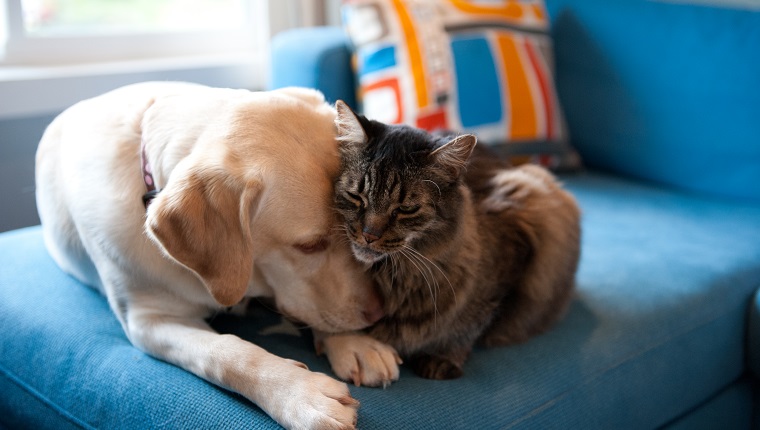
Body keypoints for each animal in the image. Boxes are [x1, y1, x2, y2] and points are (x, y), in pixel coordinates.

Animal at [318, 101, 580, 386]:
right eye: (356, 196)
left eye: (406, 209)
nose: (369, 235)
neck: (396, 279)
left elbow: (471, 324)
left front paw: (444, 357)